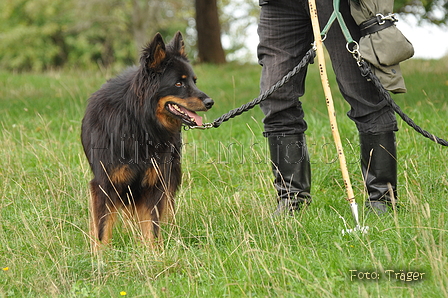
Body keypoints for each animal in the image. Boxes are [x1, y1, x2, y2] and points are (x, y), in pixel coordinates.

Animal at [81, 31, 214, 250]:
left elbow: (151, 225)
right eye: (179, 83)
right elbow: (102, 228)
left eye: (194, 81)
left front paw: (153, 252)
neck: (139, 123)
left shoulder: (155, 180)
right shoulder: (105, 183)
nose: (210, 102)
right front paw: (101, 255)